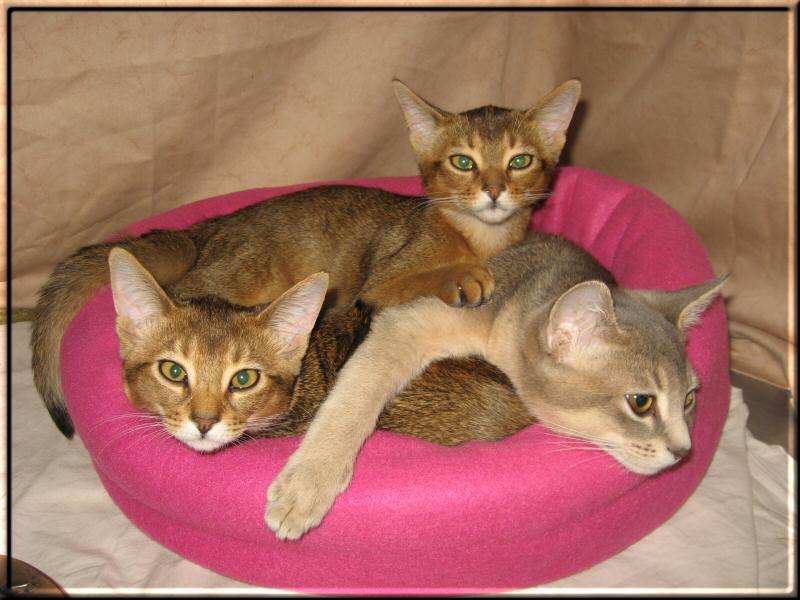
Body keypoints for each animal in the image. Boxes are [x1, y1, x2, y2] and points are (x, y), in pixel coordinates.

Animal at [31, 77, 580, 438]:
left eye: (520, 161)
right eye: (462, 162)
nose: (494, 192)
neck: (483, 240)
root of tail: (209, 227)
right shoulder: (378, 285)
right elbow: (420, 279)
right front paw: (463, 277)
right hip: (234, 281)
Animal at [266, 230, 728, 540]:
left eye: (689, 398)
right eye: (641, 402)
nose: (684, 451)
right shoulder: (408, 323)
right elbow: (353, 399)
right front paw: (308, 485)